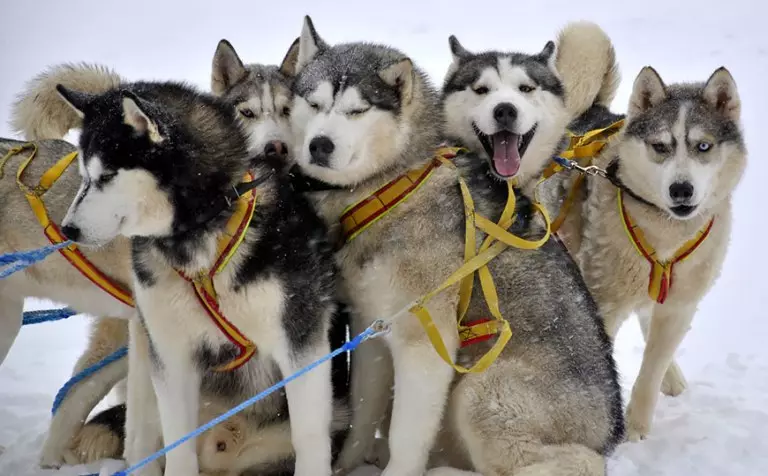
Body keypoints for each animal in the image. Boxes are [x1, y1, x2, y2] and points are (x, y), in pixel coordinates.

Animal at [51, 75, 342, 476]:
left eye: (106, 176)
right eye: (83, 176)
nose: (67, 230)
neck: (201, 241)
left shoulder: (301, 340)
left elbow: (309, 436)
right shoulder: (170, 354)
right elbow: (178, 442)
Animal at [286, 15, 624, 476]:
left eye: (357, 111)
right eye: (315, 104)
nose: (320, 144)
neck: (390, 188)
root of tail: (611, 429)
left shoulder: (427, 339)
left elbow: (406, 436)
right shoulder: (371, 325)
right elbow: (363, 411)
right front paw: (349, 466)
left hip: (485, 392)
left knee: (578, 462)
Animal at [540, 65, 744, 440]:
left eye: (703, 146)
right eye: (660, 146)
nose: (681, 189)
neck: (666, 230)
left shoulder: (679, 306)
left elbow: (651, 368)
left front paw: (635, 429)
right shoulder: (604, 302)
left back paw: (672, 377)